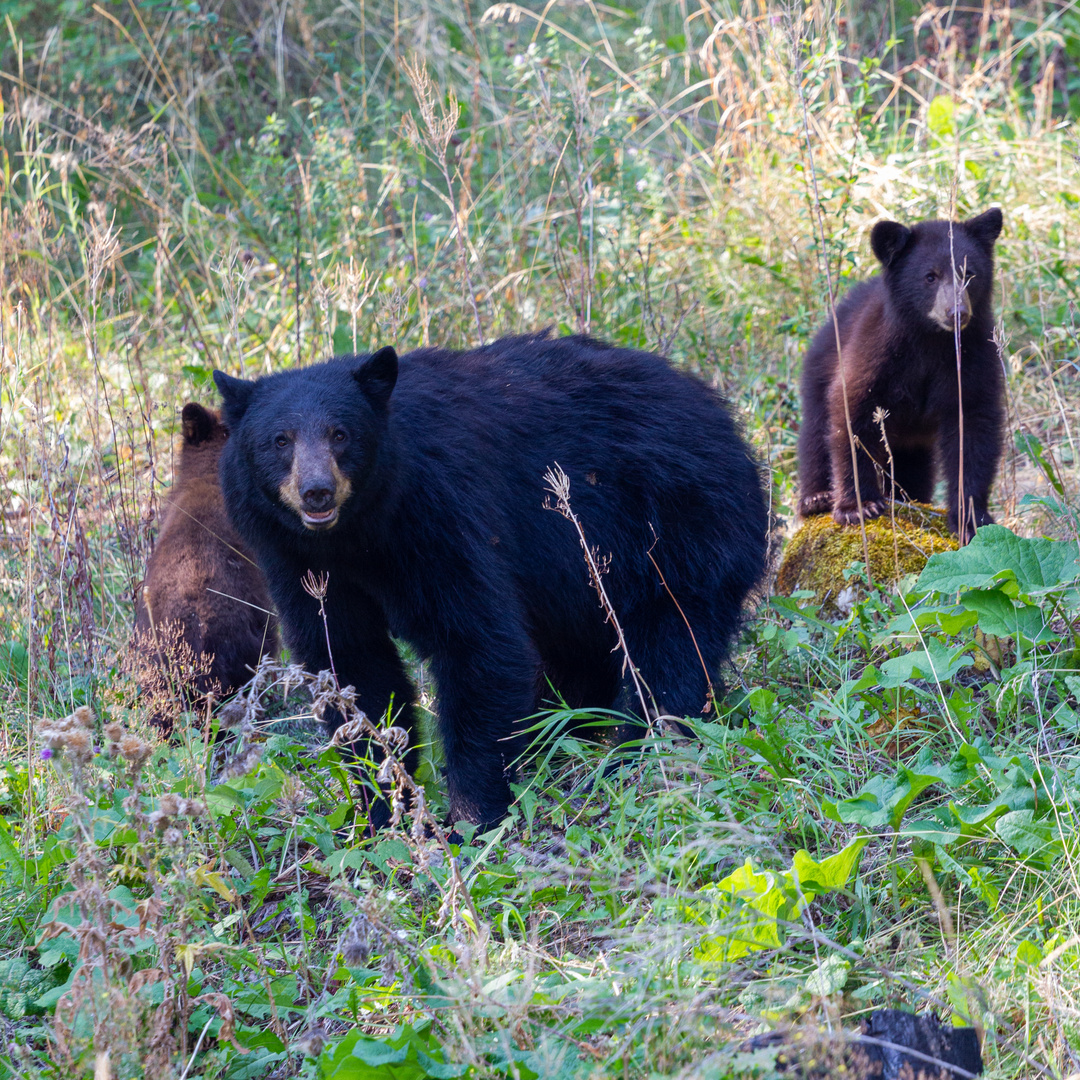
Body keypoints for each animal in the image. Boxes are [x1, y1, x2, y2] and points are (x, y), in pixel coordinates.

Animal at [212, 330, 768, 825]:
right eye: (279, 441)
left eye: (340, 434)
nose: (317, 492)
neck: (357, 534)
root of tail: (723, 415)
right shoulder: (297, 560)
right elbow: (351, 662)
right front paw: (380, 808)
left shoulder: (440, 514)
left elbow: (478, 643)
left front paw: (471, 815)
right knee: (584, 660)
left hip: (675, 528)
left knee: (670, 649)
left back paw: (638, 754)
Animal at [794, 204, 1002, 540]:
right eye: (930, 277)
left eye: (969, 273)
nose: (957, 313)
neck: (931, 340)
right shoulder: (878, 354)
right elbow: (853, 416)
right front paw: (858, 507)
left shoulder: (974, 358)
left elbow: (973, 429)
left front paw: (971, 518)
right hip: (819, 368)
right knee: (814, 431)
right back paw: (816, 498)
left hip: (912, 439)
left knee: (914, 465)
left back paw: (908, 496)